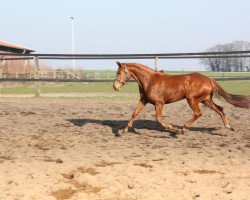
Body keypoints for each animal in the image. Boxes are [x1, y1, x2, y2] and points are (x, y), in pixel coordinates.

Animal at [113, 62, 250, 134]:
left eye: (119, 72)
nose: (115, 86)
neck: (150, 80)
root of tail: (209, 80)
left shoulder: (159, 103)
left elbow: (158, 119)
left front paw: (172, 128)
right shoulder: (144, 100)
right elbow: (134, 113)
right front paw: (124, 130)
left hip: (192, 99)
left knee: (198, 113)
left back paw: (182, 129)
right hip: (206, 100)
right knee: (220, 109)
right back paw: (229, 126)